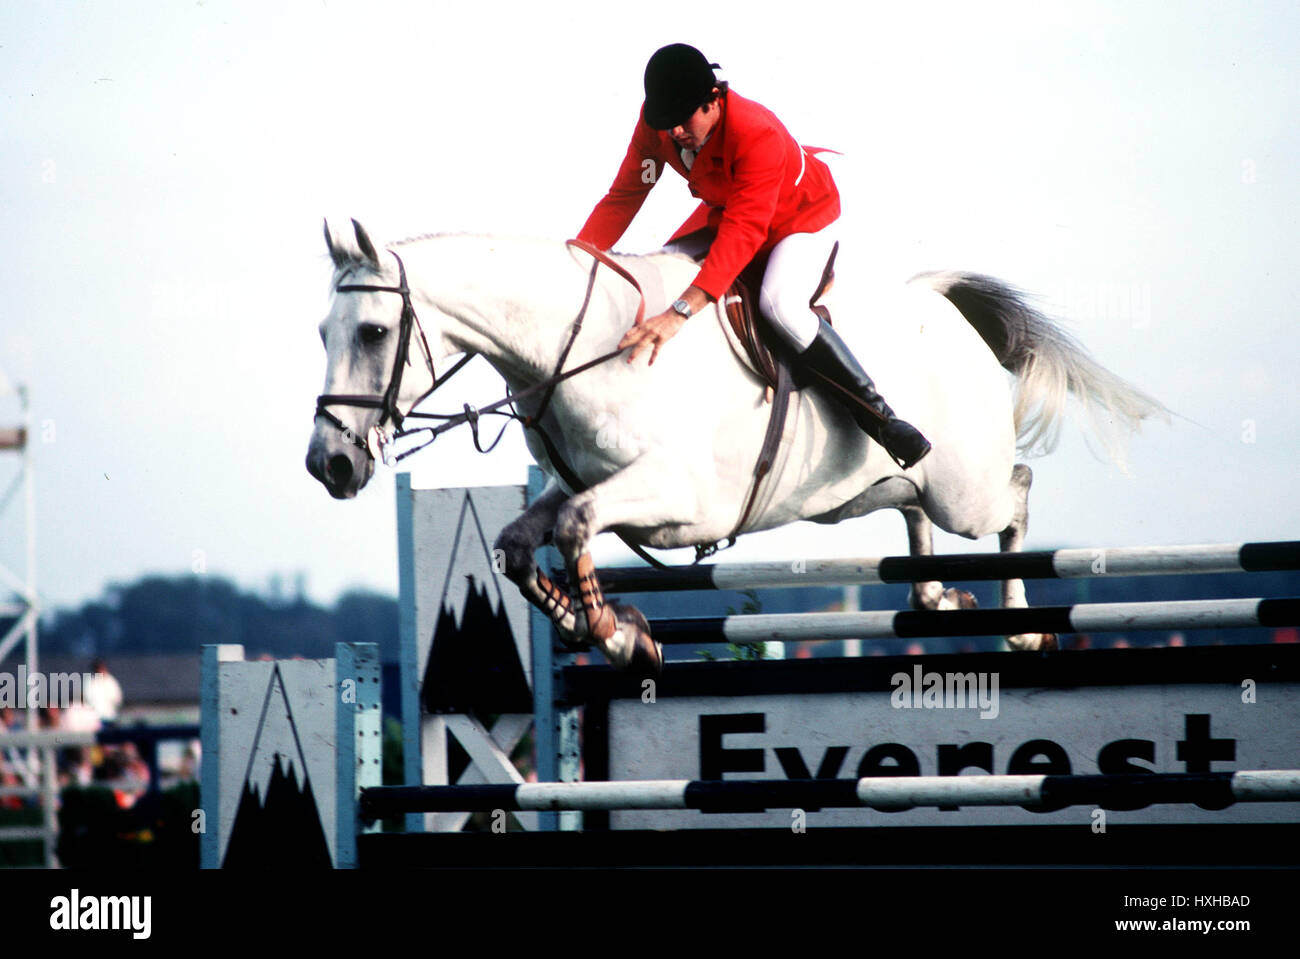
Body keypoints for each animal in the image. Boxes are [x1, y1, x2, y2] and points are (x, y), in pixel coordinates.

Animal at [306, 220, 1170, 670]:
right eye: (323, 332)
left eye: (374, 331)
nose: (330, 463)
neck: (584, 347)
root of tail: (941, 308)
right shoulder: (580, 481)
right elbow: (524, 544)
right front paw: (605, 626)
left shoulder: (680, 498)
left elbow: (578, 527)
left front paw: (617, 634)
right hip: (894, 485)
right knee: (913, 504)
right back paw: (935, 596)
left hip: (969, 487)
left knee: (1014, 491)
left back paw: (1021, 624)